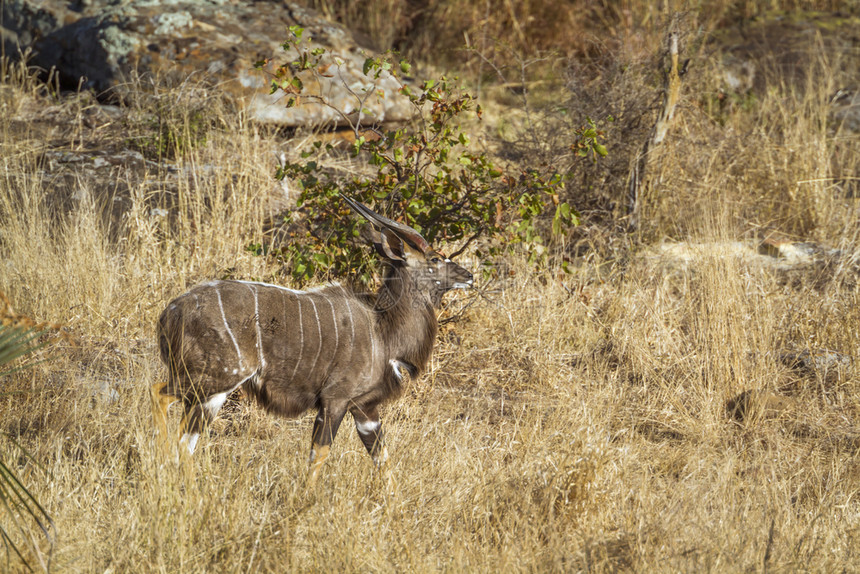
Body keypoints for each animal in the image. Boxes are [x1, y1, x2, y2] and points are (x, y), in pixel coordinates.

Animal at [155, 196, 478, 484]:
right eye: (435, 259)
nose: (469, 275)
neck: (383, 332)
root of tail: (171, 312)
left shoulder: (365, 408)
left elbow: (382, 458)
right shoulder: (335, 399)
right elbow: (319, 453)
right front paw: (305, 500)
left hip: (210, 393)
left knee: (185, 441)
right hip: (216, 379)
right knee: (161, 398)